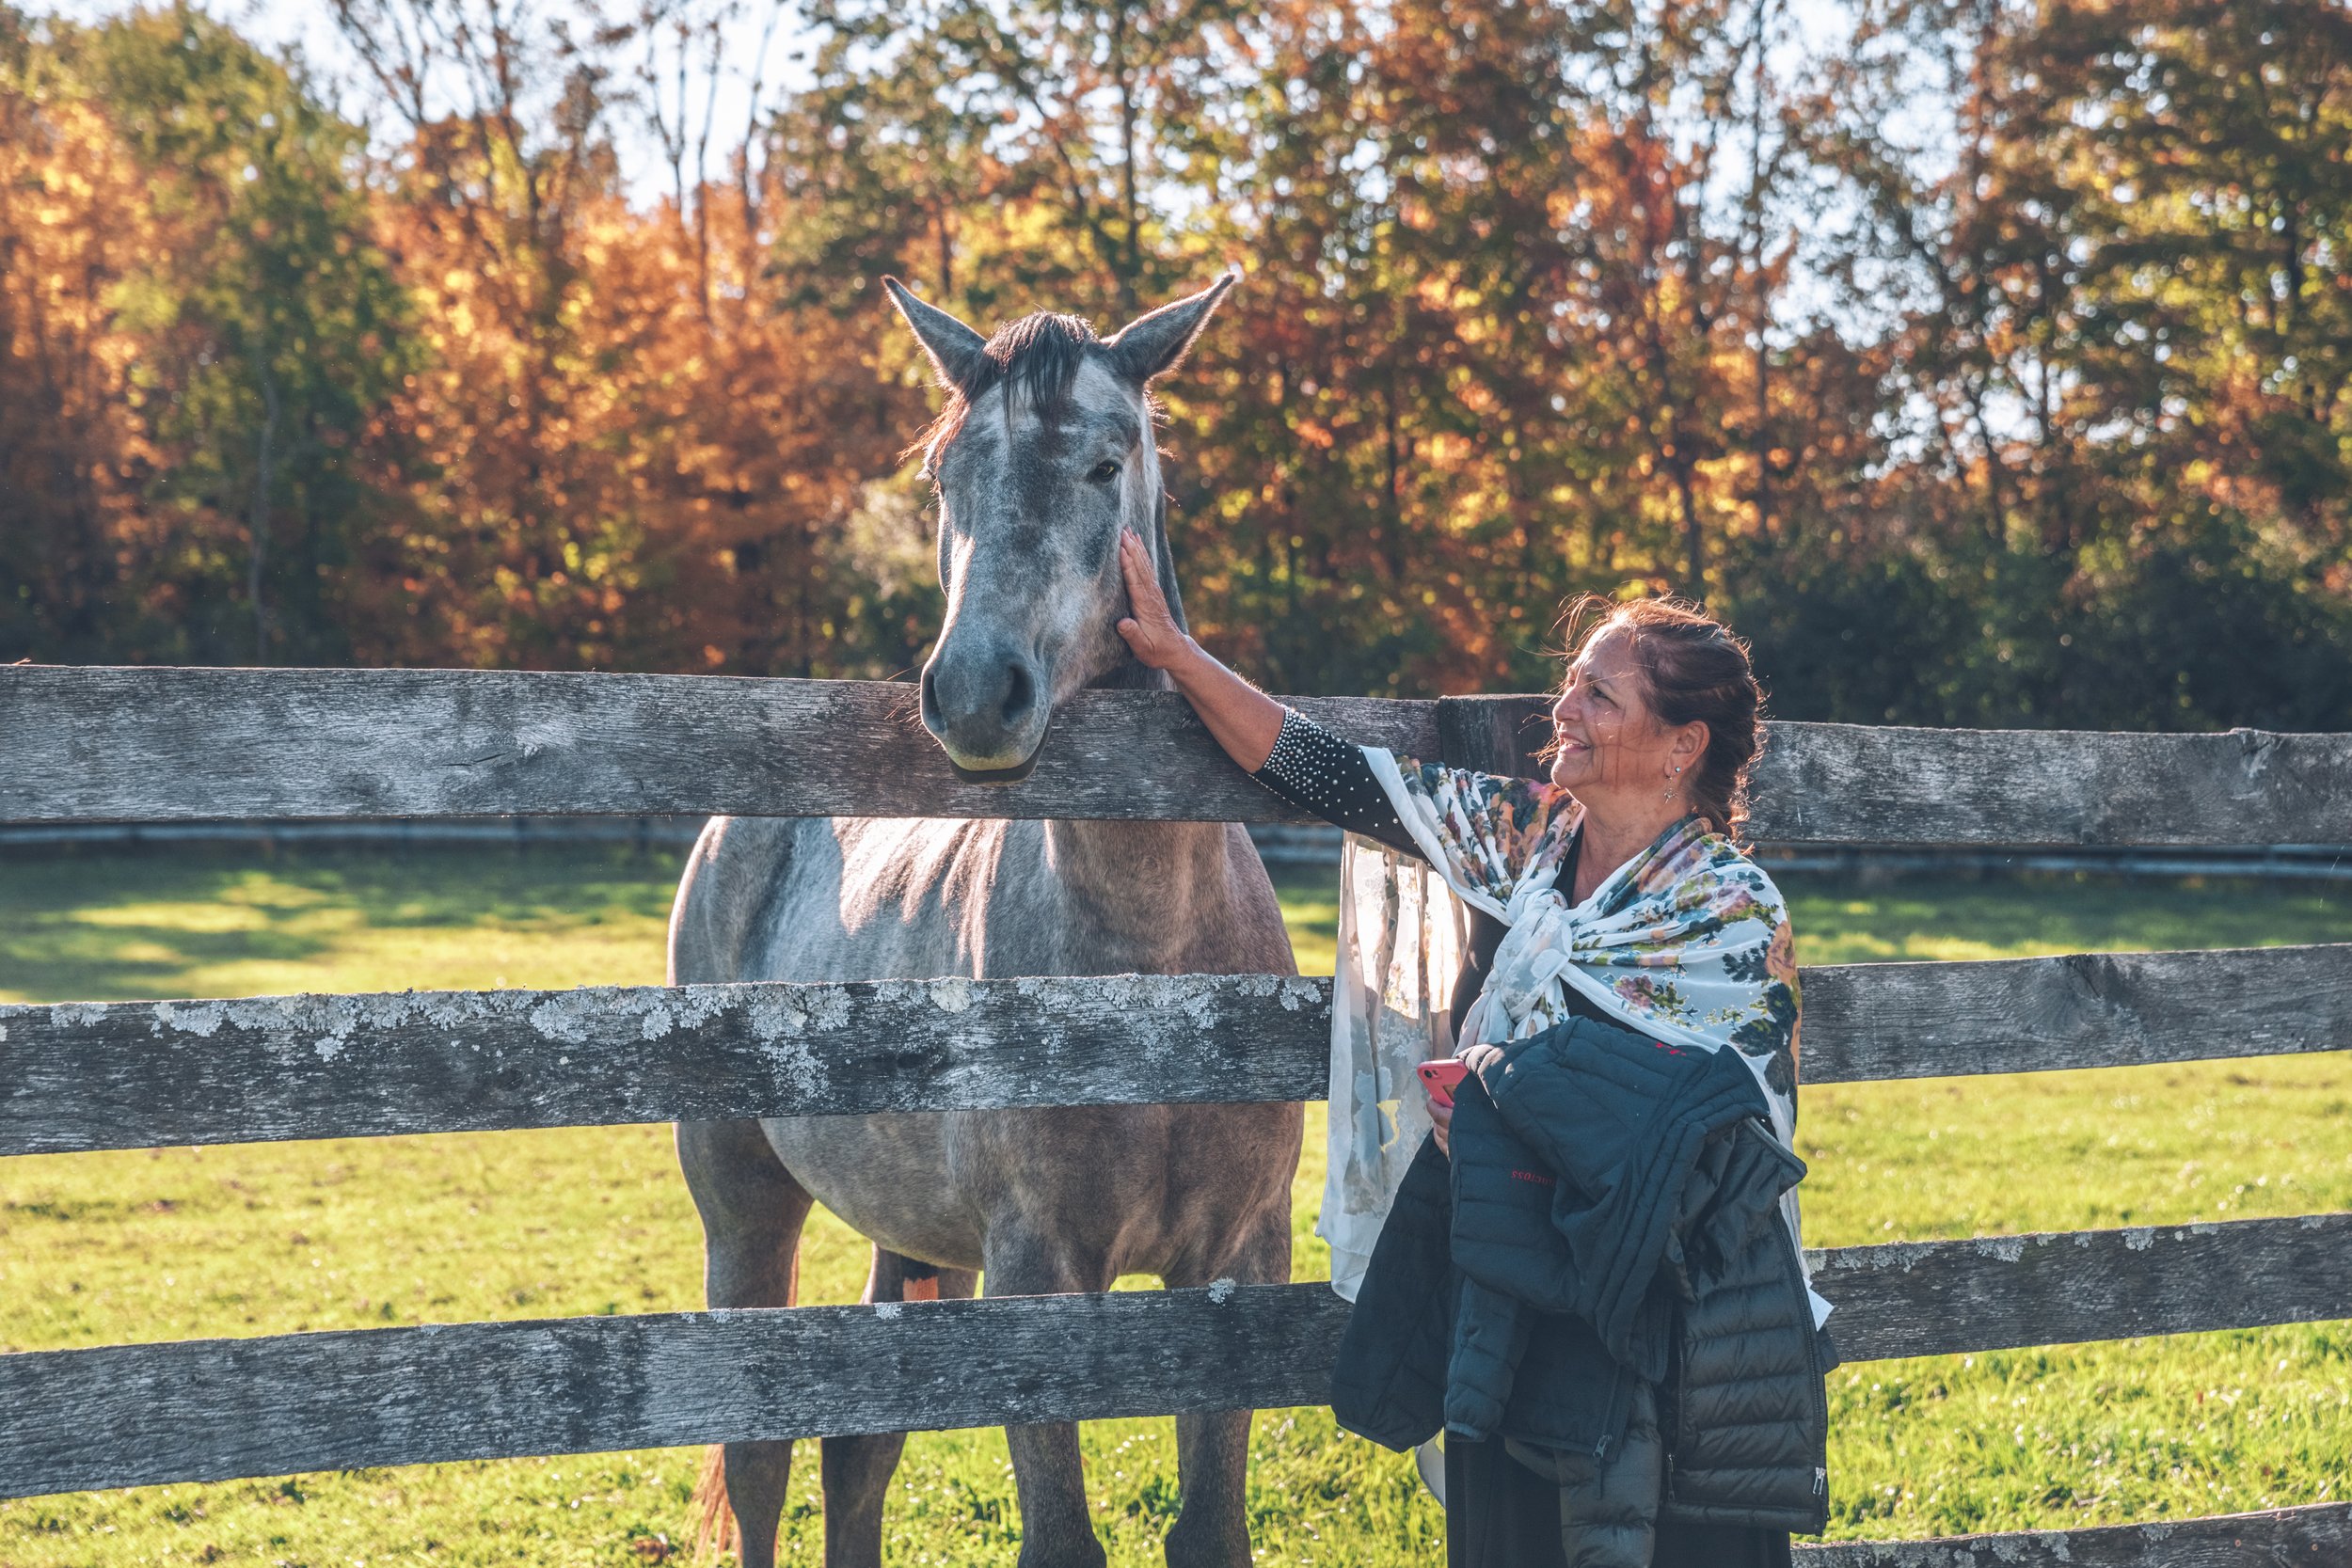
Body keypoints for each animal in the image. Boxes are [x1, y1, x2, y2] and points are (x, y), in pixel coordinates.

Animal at [668, 276, 1308, 1560]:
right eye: (944, 475)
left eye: (1108, 463)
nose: (972, 692)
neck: (1154, 981)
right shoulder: (1035, 1273)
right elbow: (1059, 1533)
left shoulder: (1239, 1267)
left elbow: (1210, 1526)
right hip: (744, 1208)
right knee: (760, 1457)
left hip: (910, 1236)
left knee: (857, 1452)